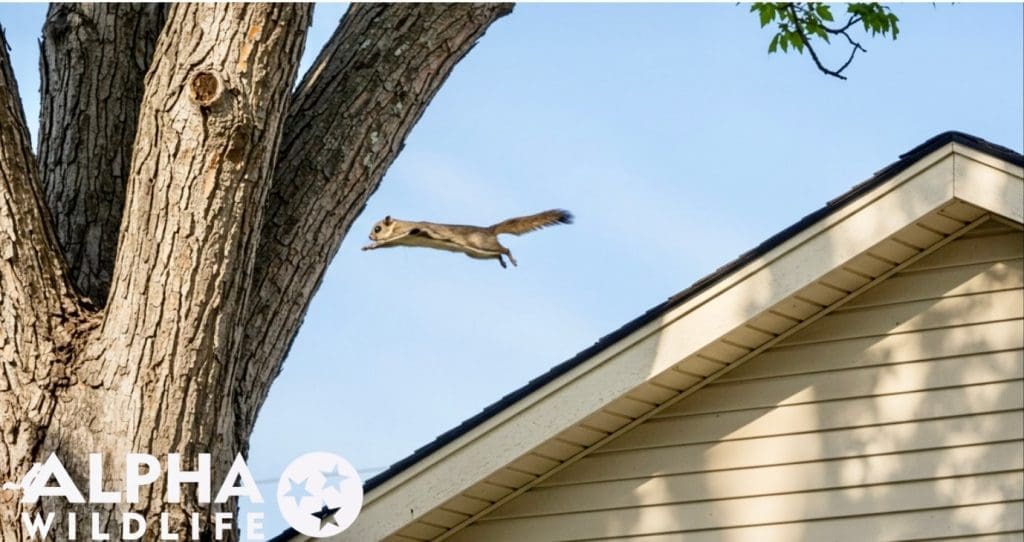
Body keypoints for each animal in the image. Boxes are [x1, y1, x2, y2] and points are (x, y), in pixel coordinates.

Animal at [361, 209, 573, 268]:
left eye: (378, 227)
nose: (370, 235)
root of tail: (489, 230)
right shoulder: (399, 241)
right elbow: (386, 245)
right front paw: (369, 246)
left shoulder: (412, 232)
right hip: (477, 254)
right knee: (497, 254)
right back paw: (502, 262)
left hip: (481, 244)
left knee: (504, 248)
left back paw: (510, 259)